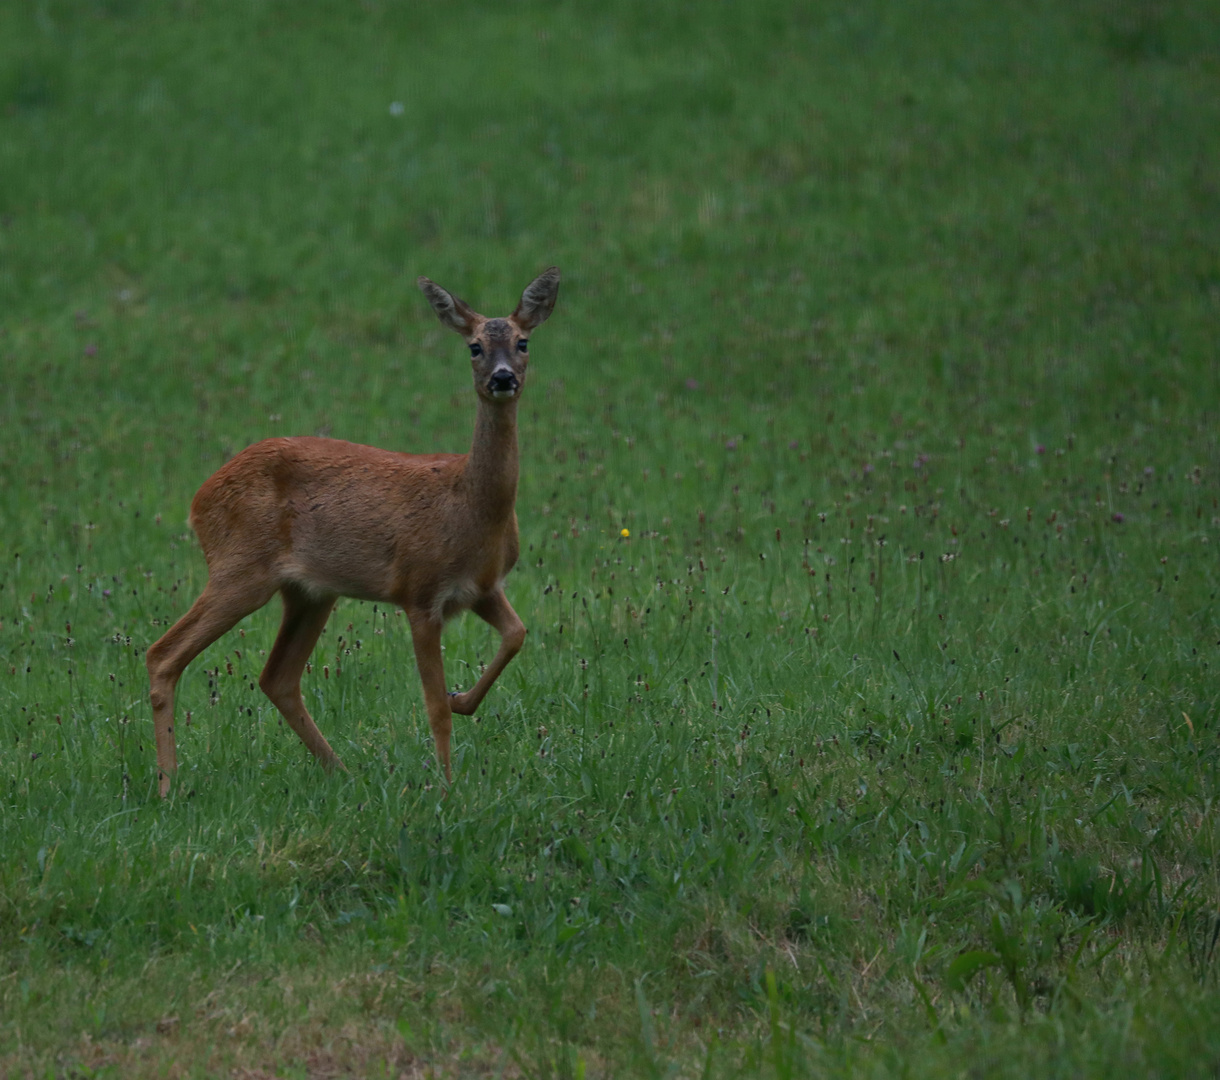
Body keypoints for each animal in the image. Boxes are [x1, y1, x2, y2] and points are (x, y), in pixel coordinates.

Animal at [145, 266, 558, 795]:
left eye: (523, 342)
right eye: (474, 347)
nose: (502, 378)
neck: (470, 506)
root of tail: (198, 498)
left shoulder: (482, 588)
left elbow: (517, 634)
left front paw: (463, 698)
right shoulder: (419, 590)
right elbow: (434, 708)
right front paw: (446, 785)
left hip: (310, 592)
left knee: (277, 677)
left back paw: (342, 772)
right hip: (240, 569)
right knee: (163, 654)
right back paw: (169, 785)